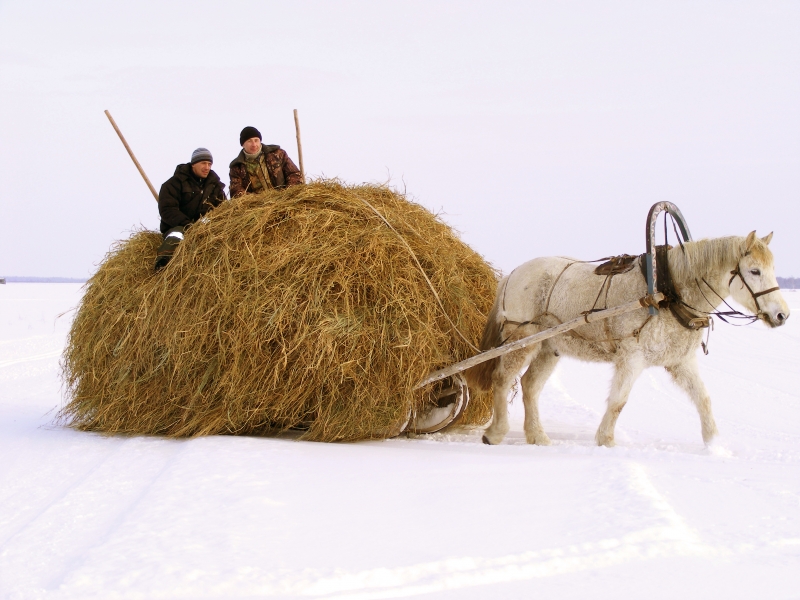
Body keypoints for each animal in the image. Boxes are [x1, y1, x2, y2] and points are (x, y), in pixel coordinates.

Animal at [468, 232, 788, 448]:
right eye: (754, 271)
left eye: (772, 270)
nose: (782, 314)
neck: (667, 292)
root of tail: (512, 273)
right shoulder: (632, 358)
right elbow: (618, 402)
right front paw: (606, 441)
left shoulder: (680, 361)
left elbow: (704, 399)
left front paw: (715, 445)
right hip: (523, 338)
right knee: (501, 379)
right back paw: (496, 432)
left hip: (549, 347)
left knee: (530, 386)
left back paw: (537, 436)